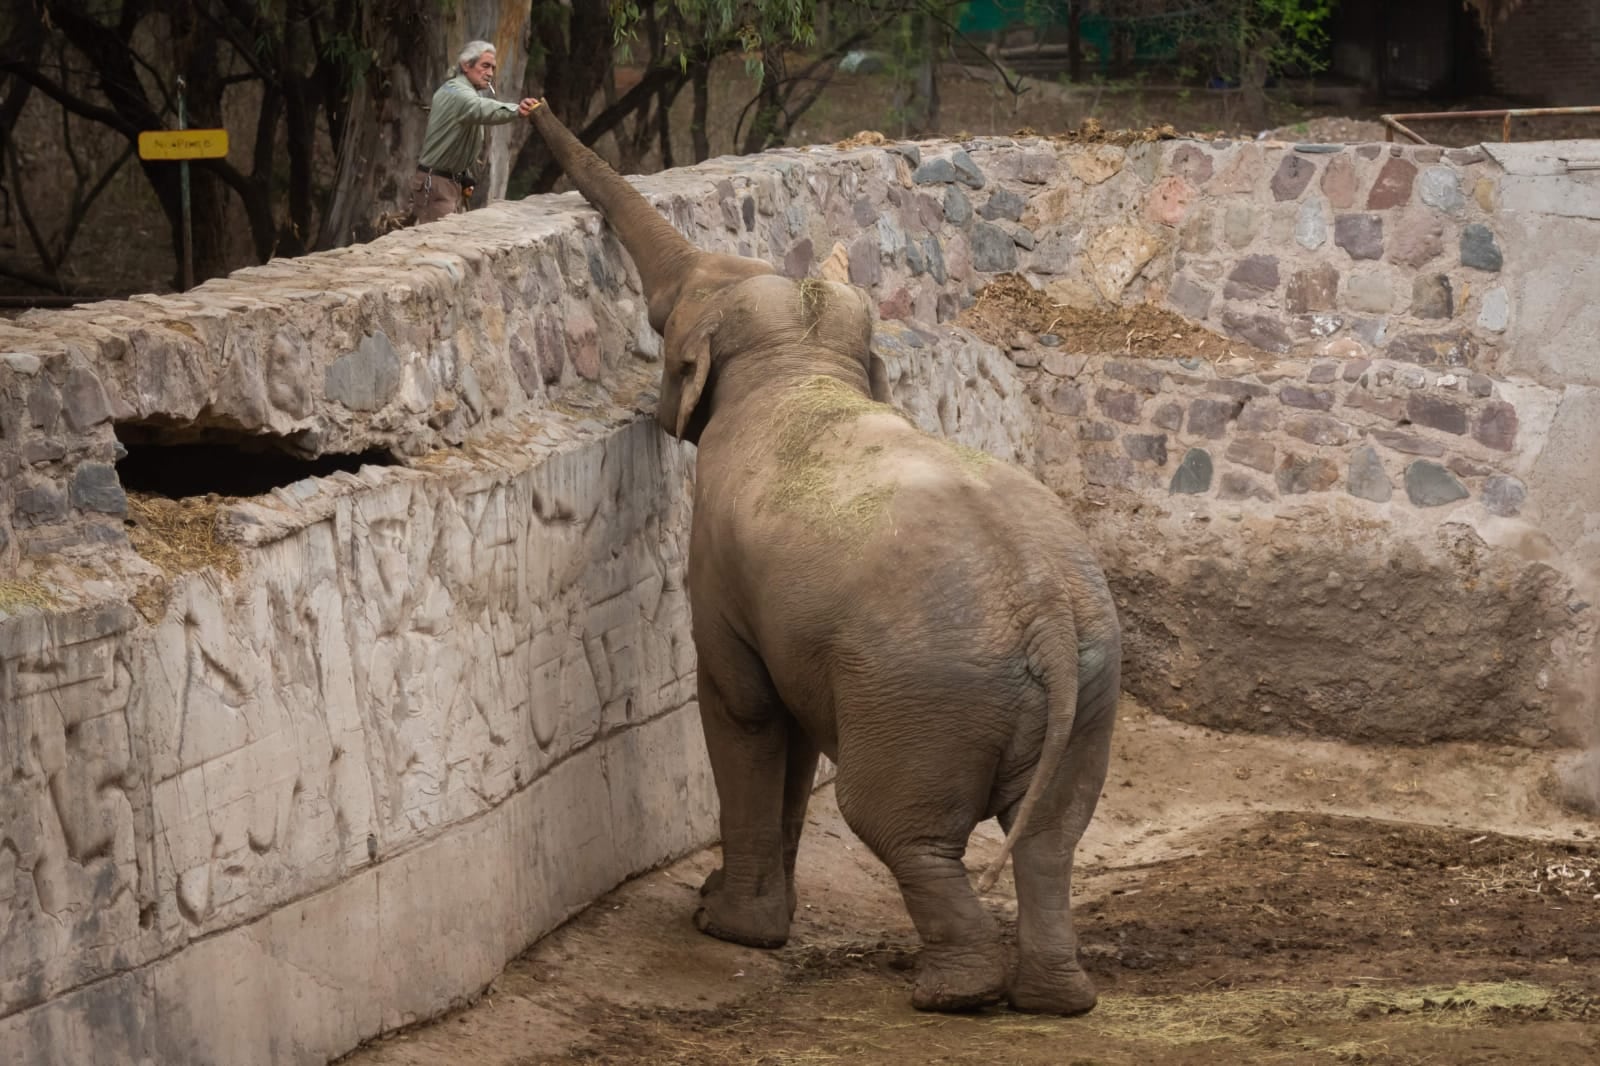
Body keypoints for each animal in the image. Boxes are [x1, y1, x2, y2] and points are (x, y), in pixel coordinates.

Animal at [528, 105, 1126, 1011]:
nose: (525, 109)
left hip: (924, 696)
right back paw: (1054, 1000)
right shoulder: (803, 632)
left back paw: (951, 995)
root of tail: (1048, 614)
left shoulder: (719, 567)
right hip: (1087, 689)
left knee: (901, 828)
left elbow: (741, 708)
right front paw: (745, 912)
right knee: (1050, 838)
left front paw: (727, 928)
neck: (800, 365)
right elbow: (793, 726)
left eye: (664, 316)